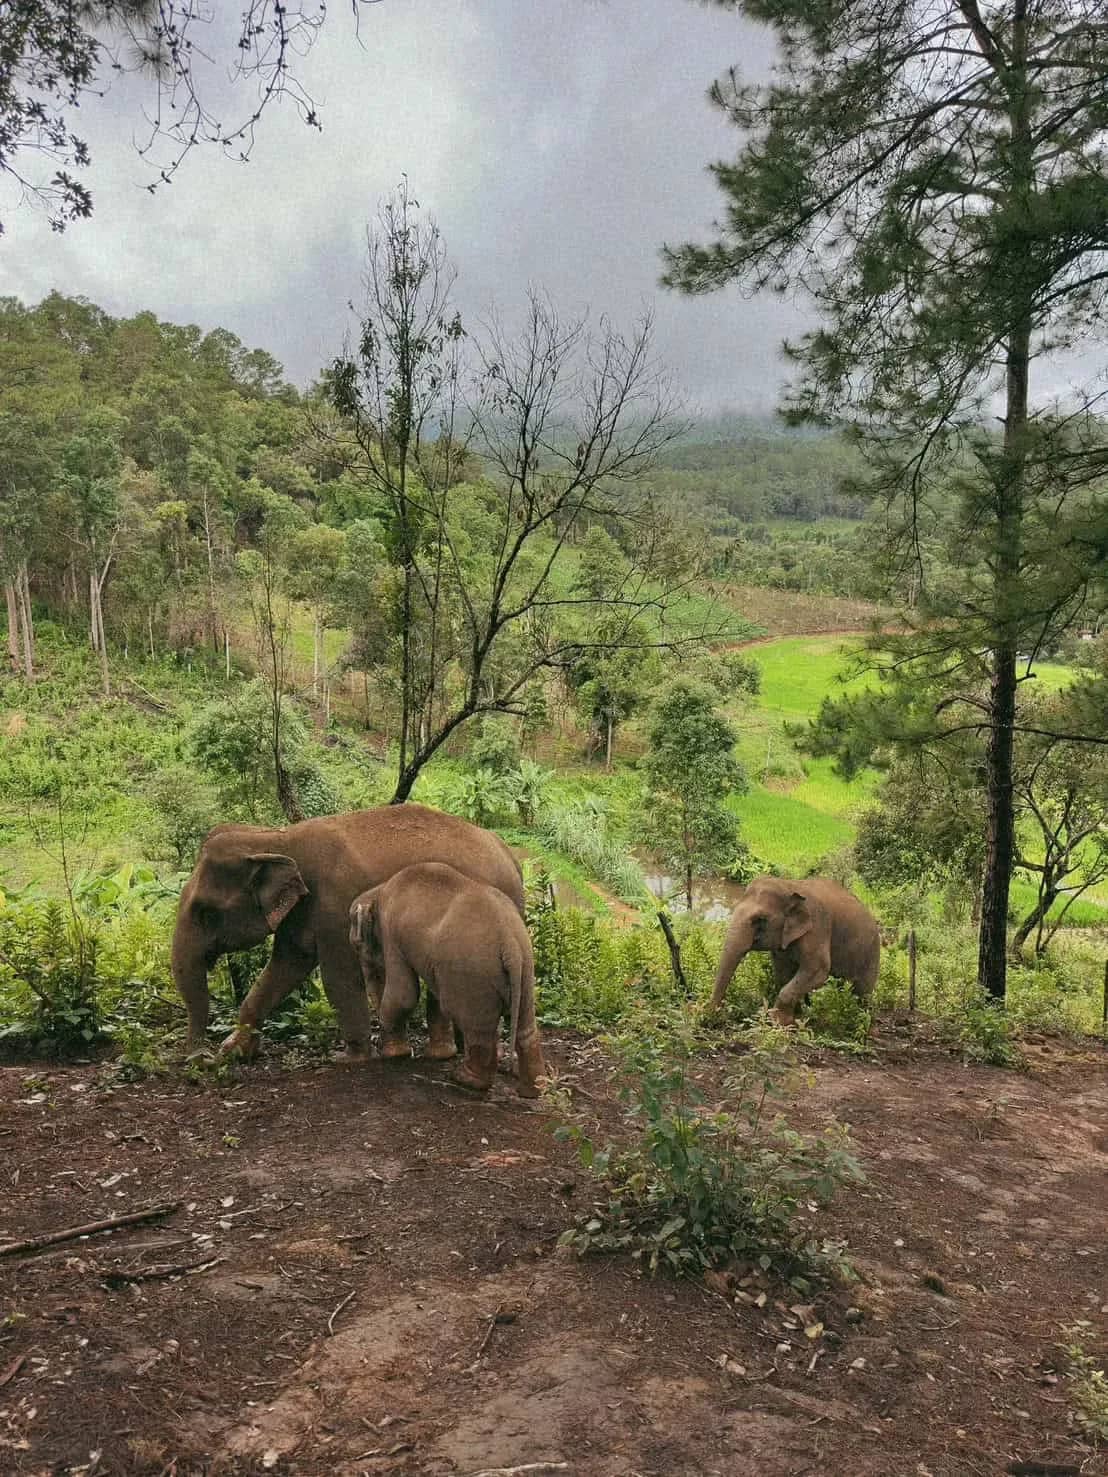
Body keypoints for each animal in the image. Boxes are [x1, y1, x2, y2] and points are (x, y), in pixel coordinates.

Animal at [171, 804, 524, 1060]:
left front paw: (350, 1058)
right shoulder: (301, 911)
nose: (200, 1059)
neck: (275, 839)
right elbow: (285, 967)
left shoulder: (335, 904)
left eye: (205, 912)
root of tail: (511, 855)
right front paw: (236, 1051)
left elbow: (337, 978)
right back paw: (450, 1053)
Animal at [349, 862, 546, 1098]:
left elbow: (404, 994)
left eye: (356, 945)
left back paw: (464, 1079)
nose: (378, 1040)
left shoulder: (392, 933)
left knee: (477, 1028)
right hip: (525, 967)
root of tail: (510, 944)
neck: (379, 891)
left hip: (473, 973)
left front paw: (391, 1052)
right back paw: (534, 1090)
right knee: (525, 1026)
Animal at [707, 876, 880, 1026]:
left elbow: (817, 970)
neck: (789, 886)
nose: (716, 1013)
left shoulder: (817, 928)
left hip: (871, 953)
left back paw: (858, 1022)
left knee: (862, 992)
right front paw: (796, 1017)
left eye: (760, 920)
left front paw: (778, 1022)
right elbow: (783, 972)